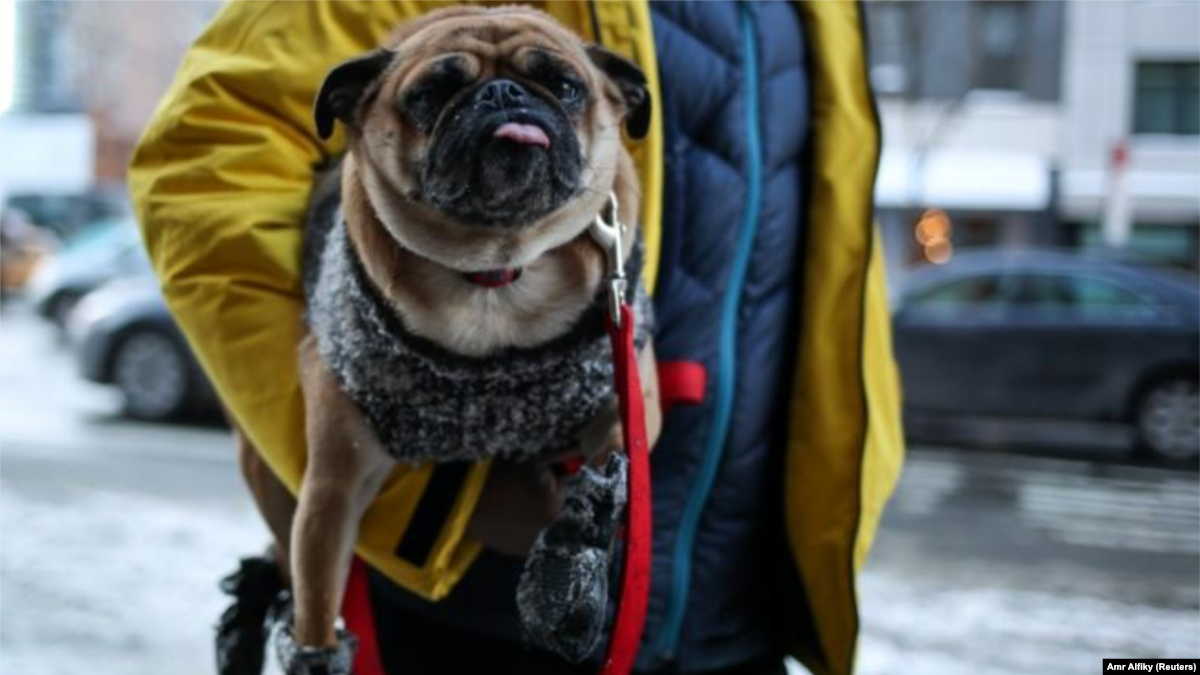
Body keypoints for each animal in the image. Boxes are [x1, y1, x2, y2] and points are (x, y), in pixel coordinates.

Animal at [229, 6, 662, 672]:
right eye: (430, 94)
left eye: (565, 86)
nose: (503, 93)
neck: (496, 271)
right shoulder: (334, 486)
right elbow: (319, 593)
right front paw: (318, 652)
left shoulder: (629, 401)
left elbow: (614, 467)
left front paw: (568, 570)